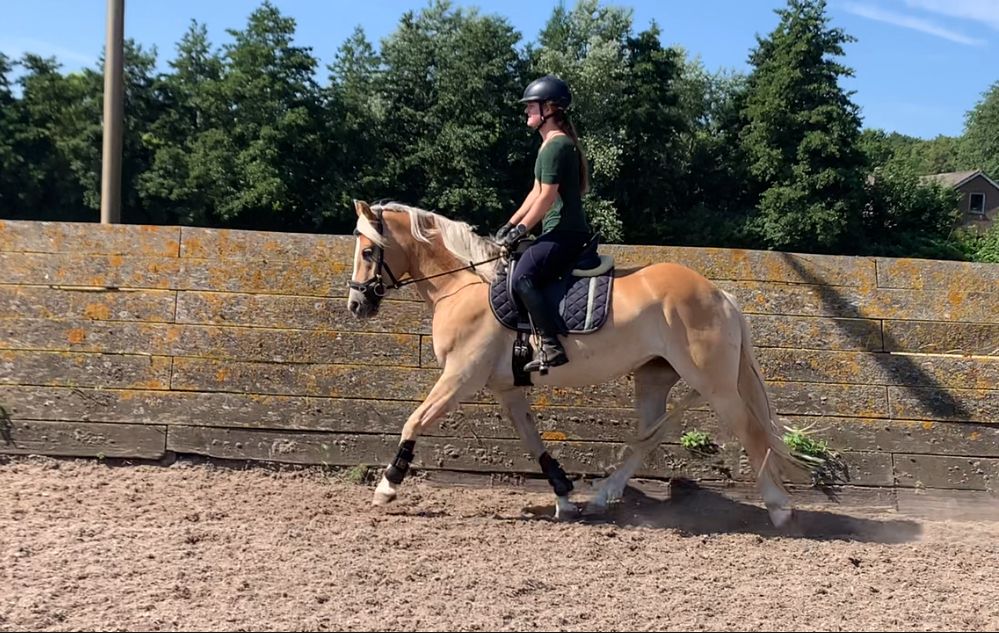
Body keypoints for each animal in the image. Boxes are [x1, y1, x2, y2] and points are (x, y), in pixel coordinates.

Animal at [345, 199, 808, 528]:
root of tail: (720, 295)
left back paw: (779, 509)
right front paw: (564, 496)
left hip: (714, 383)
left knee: (749, 430)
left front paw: (387, 486)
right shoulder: (507, 389)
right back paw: (603, 496)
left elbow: (414, 421)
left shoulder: (460, 377)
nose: (356, 305)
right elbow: (533, 441)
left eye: (368, 252)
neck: (463, 286)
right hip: (655, 378)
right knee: (650, 437)